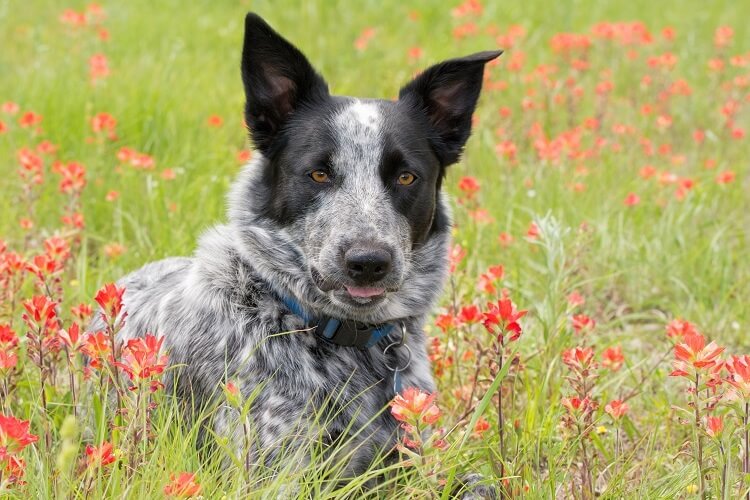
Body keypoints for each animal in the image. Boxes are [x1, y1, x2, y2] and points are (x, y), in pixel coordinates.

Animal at [97, 10, 502, 492]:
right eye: (318, 173)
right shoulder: (277, 472)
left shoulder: (416, 460)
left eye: (406, 177)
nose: (368, 262)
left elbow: (479, 482)